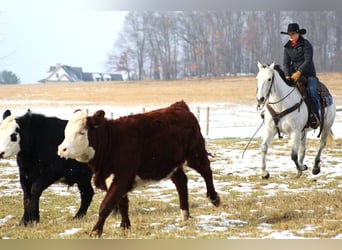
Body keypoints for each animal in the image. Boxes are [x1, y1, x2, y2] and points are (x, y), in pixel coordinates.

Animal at [57, 100, 220, 237]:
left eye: (81, 132)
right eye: (65, 132)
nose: (62, 149)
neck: (113, 142)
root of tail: (179, 106)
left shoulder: (122, 178)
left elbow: (106, 206)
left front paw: (96, 231)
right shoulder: (116, 181)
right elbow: (122, 203)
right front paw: (125, 226)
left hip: (195, 154)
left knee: (206, 171)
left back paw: (214, 198)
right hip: (171, 164)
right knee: (181, 182)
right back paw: (184, 214)